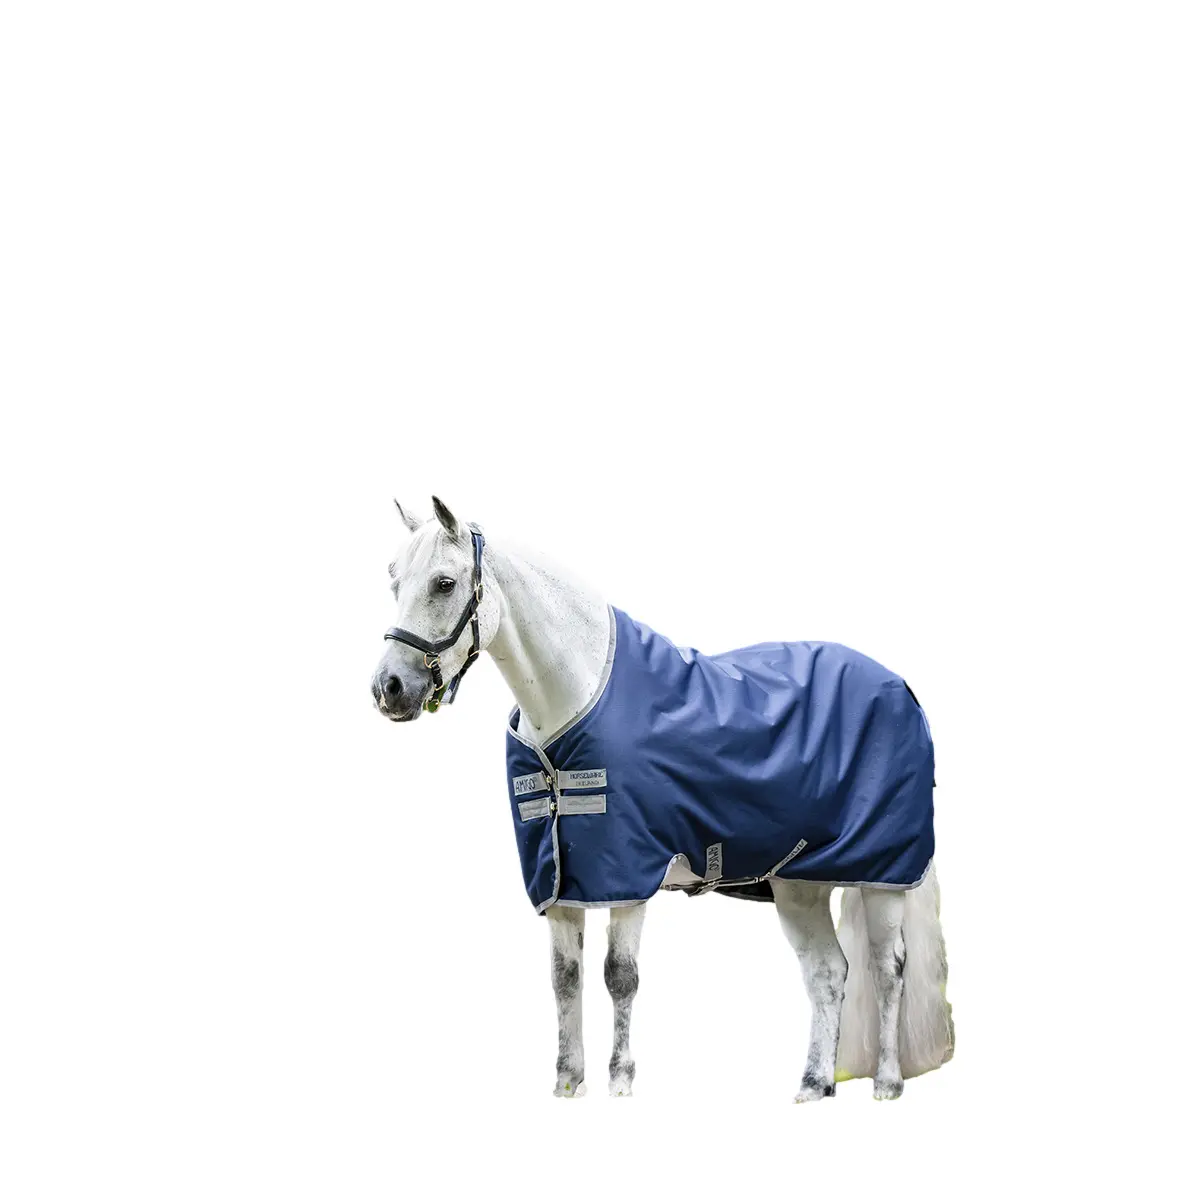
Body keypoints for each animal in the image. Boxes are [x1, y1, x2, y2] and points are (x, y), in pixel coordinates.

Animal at [371, 497, 954, 1101]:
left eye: (444, 583)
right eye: (394, 580)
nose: (389, 689)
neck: (576, 699)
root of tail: (902, 689)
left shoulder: (630, 877)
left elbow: (619, 977)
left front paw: (621, 1083)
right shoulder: (561, 887)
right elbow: (565, 980)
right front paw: (567, 1085)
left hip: (882, 875)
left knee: (887, 968)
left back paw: (886, 1083)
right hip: (799, 885)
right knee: (828, 973)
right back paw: (814, 1085)